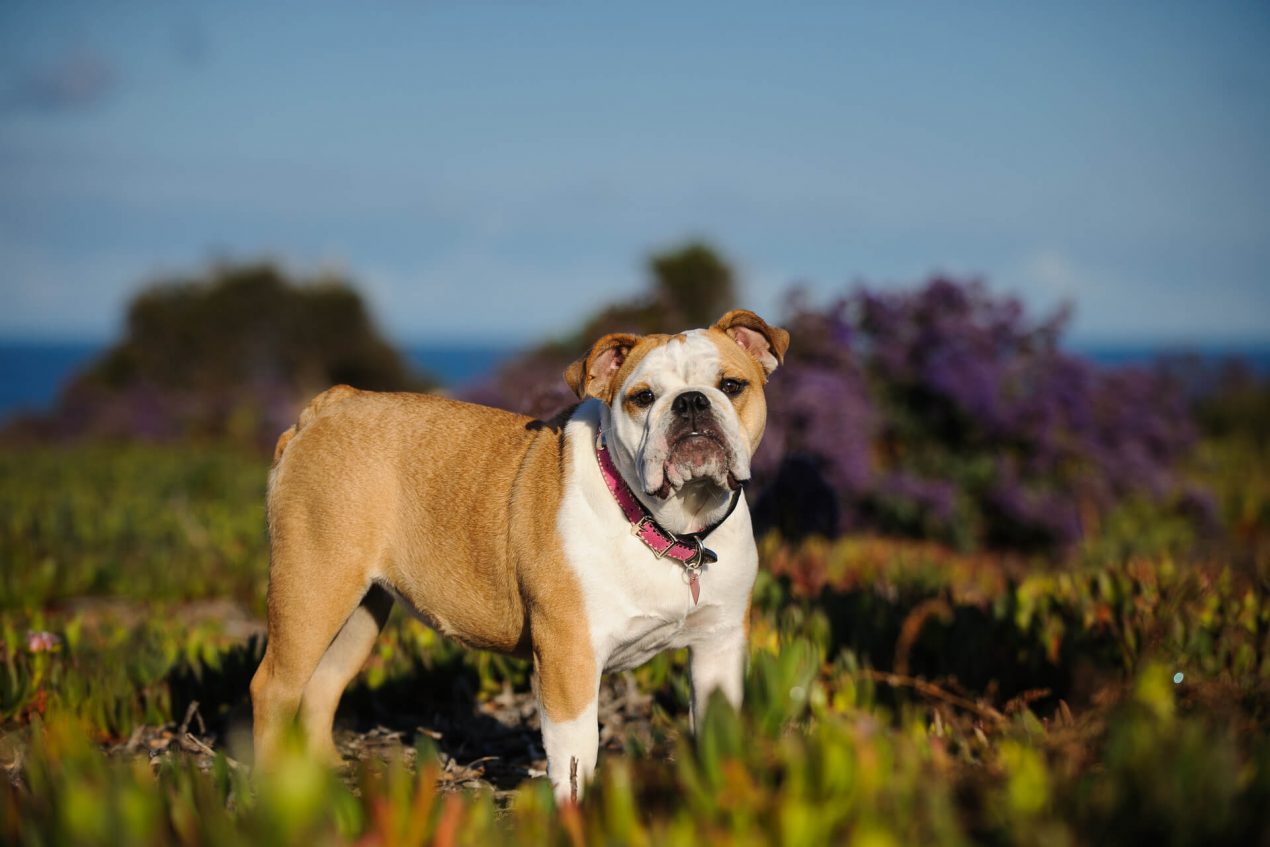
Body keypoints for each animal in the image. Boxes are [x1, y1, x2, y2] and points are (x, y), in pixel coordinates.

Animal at [246, 308, 782, 797]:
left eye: (732, 385)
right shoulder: (569, 658)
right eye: (643, 397)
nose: (691, 403)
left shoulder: (717, 647)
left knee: (322, 684)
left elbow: (717, 732)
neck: (669, 526)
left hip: (360, 612)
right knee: (274, 687)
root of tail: (330, 405)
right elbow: (575, 756)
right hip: (312, 590)